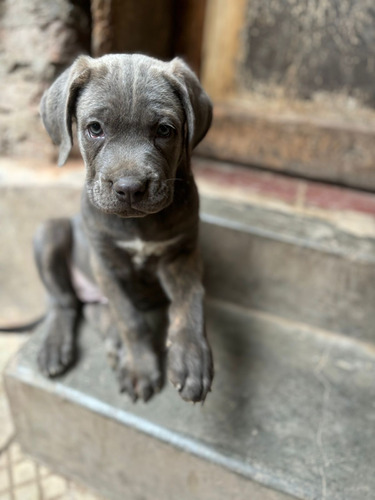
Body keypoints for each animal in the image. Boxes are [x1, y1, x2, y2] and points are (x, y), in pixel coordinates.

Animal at [36, 54, 216, 404]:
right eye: (95, 128)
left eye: (164, 130)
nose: (130, 188)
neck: (138, 224)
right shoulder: (106, 263)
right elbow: (130, 319)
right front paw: (140, 368)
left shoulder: (181, 254)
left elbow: (191, 301)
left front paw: (191, 359)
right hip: (49, 233)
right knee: (64, 302)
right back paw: (55, 346)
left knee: (92, 310)